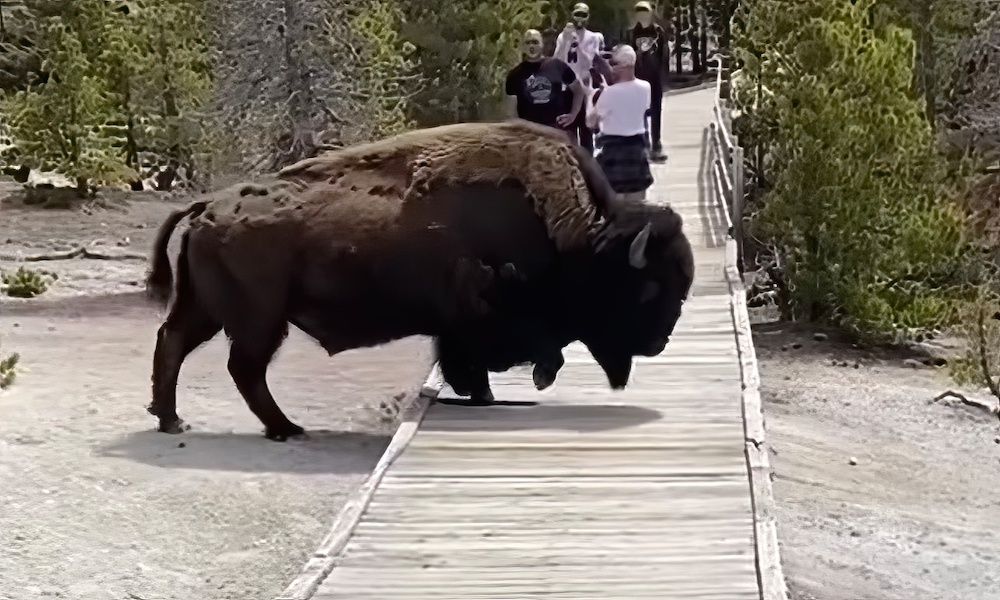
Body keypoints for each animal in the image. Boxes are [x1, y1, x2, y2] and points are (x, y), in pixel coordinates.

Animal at [146, 120, 696, 440]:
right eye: (650, 288)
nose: (660, 342)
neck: (574, 235)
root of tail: (207, 207)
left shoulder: (457, 323)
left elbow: (466, 358)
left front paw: (484, 394)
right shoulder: (483, 312)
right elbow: (519, 352)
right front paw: (516, 384)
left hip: (209, 309)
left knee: (174, 342)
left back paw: (172, 418)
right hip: (259, 319)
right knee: (244, 368)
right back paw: (285, 429)